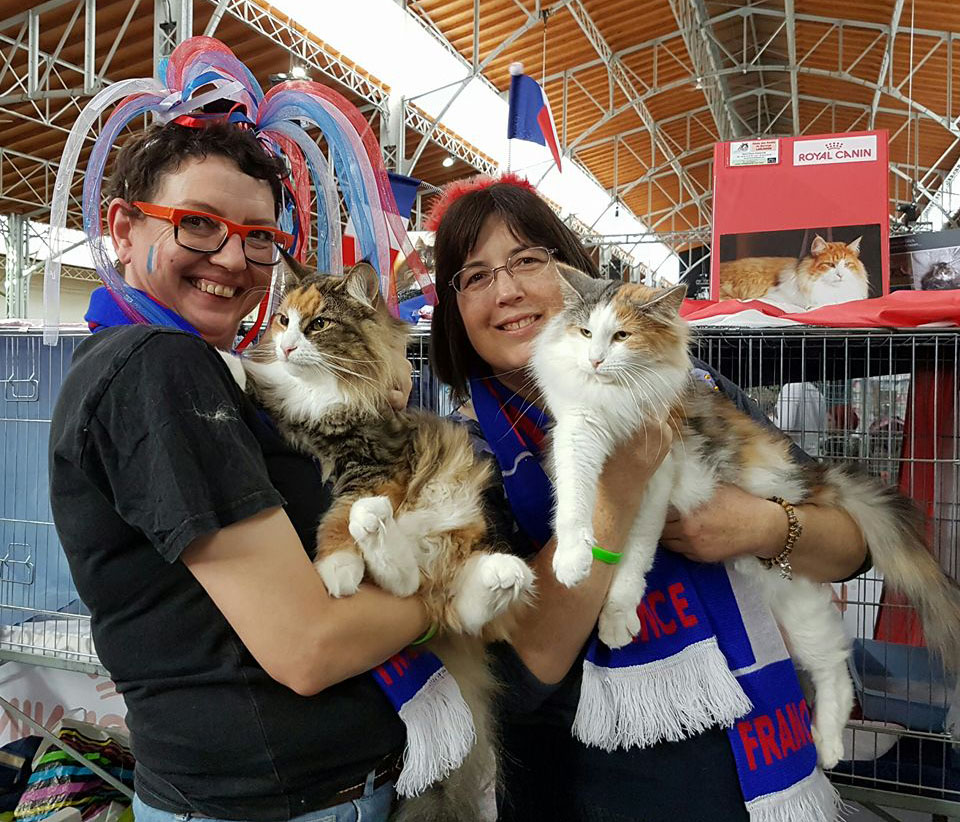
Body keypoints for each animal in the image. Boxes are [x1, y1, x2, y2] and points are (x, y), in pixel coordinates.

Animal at [223, 260, 534, 821]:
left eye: (318, 324)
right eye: (282, 320)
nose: (286, 346)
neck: (326, 395)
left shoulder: (374, 466)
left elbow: (336, 517)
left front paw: (335, 568)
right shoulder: (297, 421)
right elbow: (261, 388)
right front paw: (228, 358)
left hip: (454, 521)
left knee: (438, 593)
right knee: (416, 586)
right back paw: (387, 538)